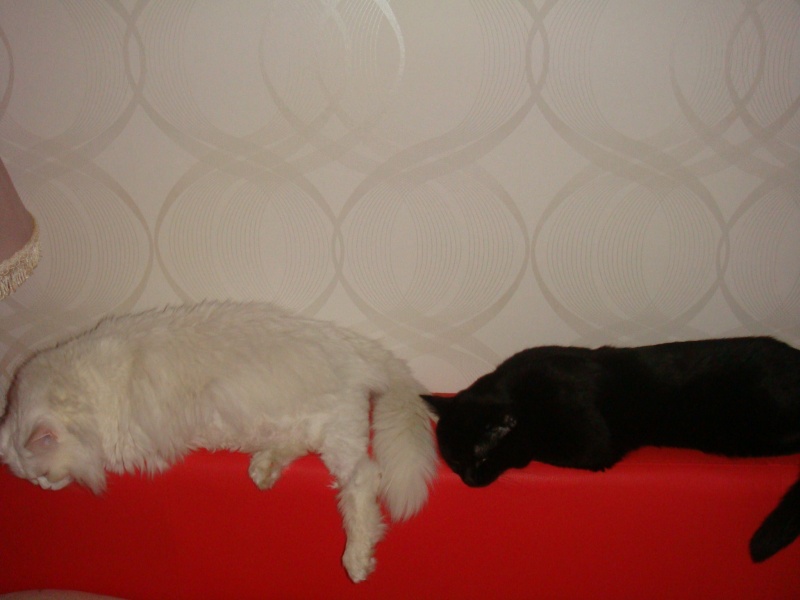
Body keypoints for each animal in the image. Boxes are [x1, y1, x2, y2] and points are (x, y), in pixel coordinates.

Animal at [0, 301, 437, 583]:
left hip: (337, 434)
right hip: (304, 427)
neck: (84, 387)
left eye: (42, 475)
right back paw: (264, 469)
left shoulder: (123, 440)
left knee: (363, 479)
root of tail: (357, 346)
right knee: (298, 449)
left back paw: (357, 561)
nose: (42, 487)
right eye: (30, 479)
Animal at [422, 336, 800, 563]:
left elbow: (540, 446)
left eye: (481, 457)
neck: (521, 396)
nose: (469, 480)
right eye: (455, 461)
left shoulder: (591, 441)